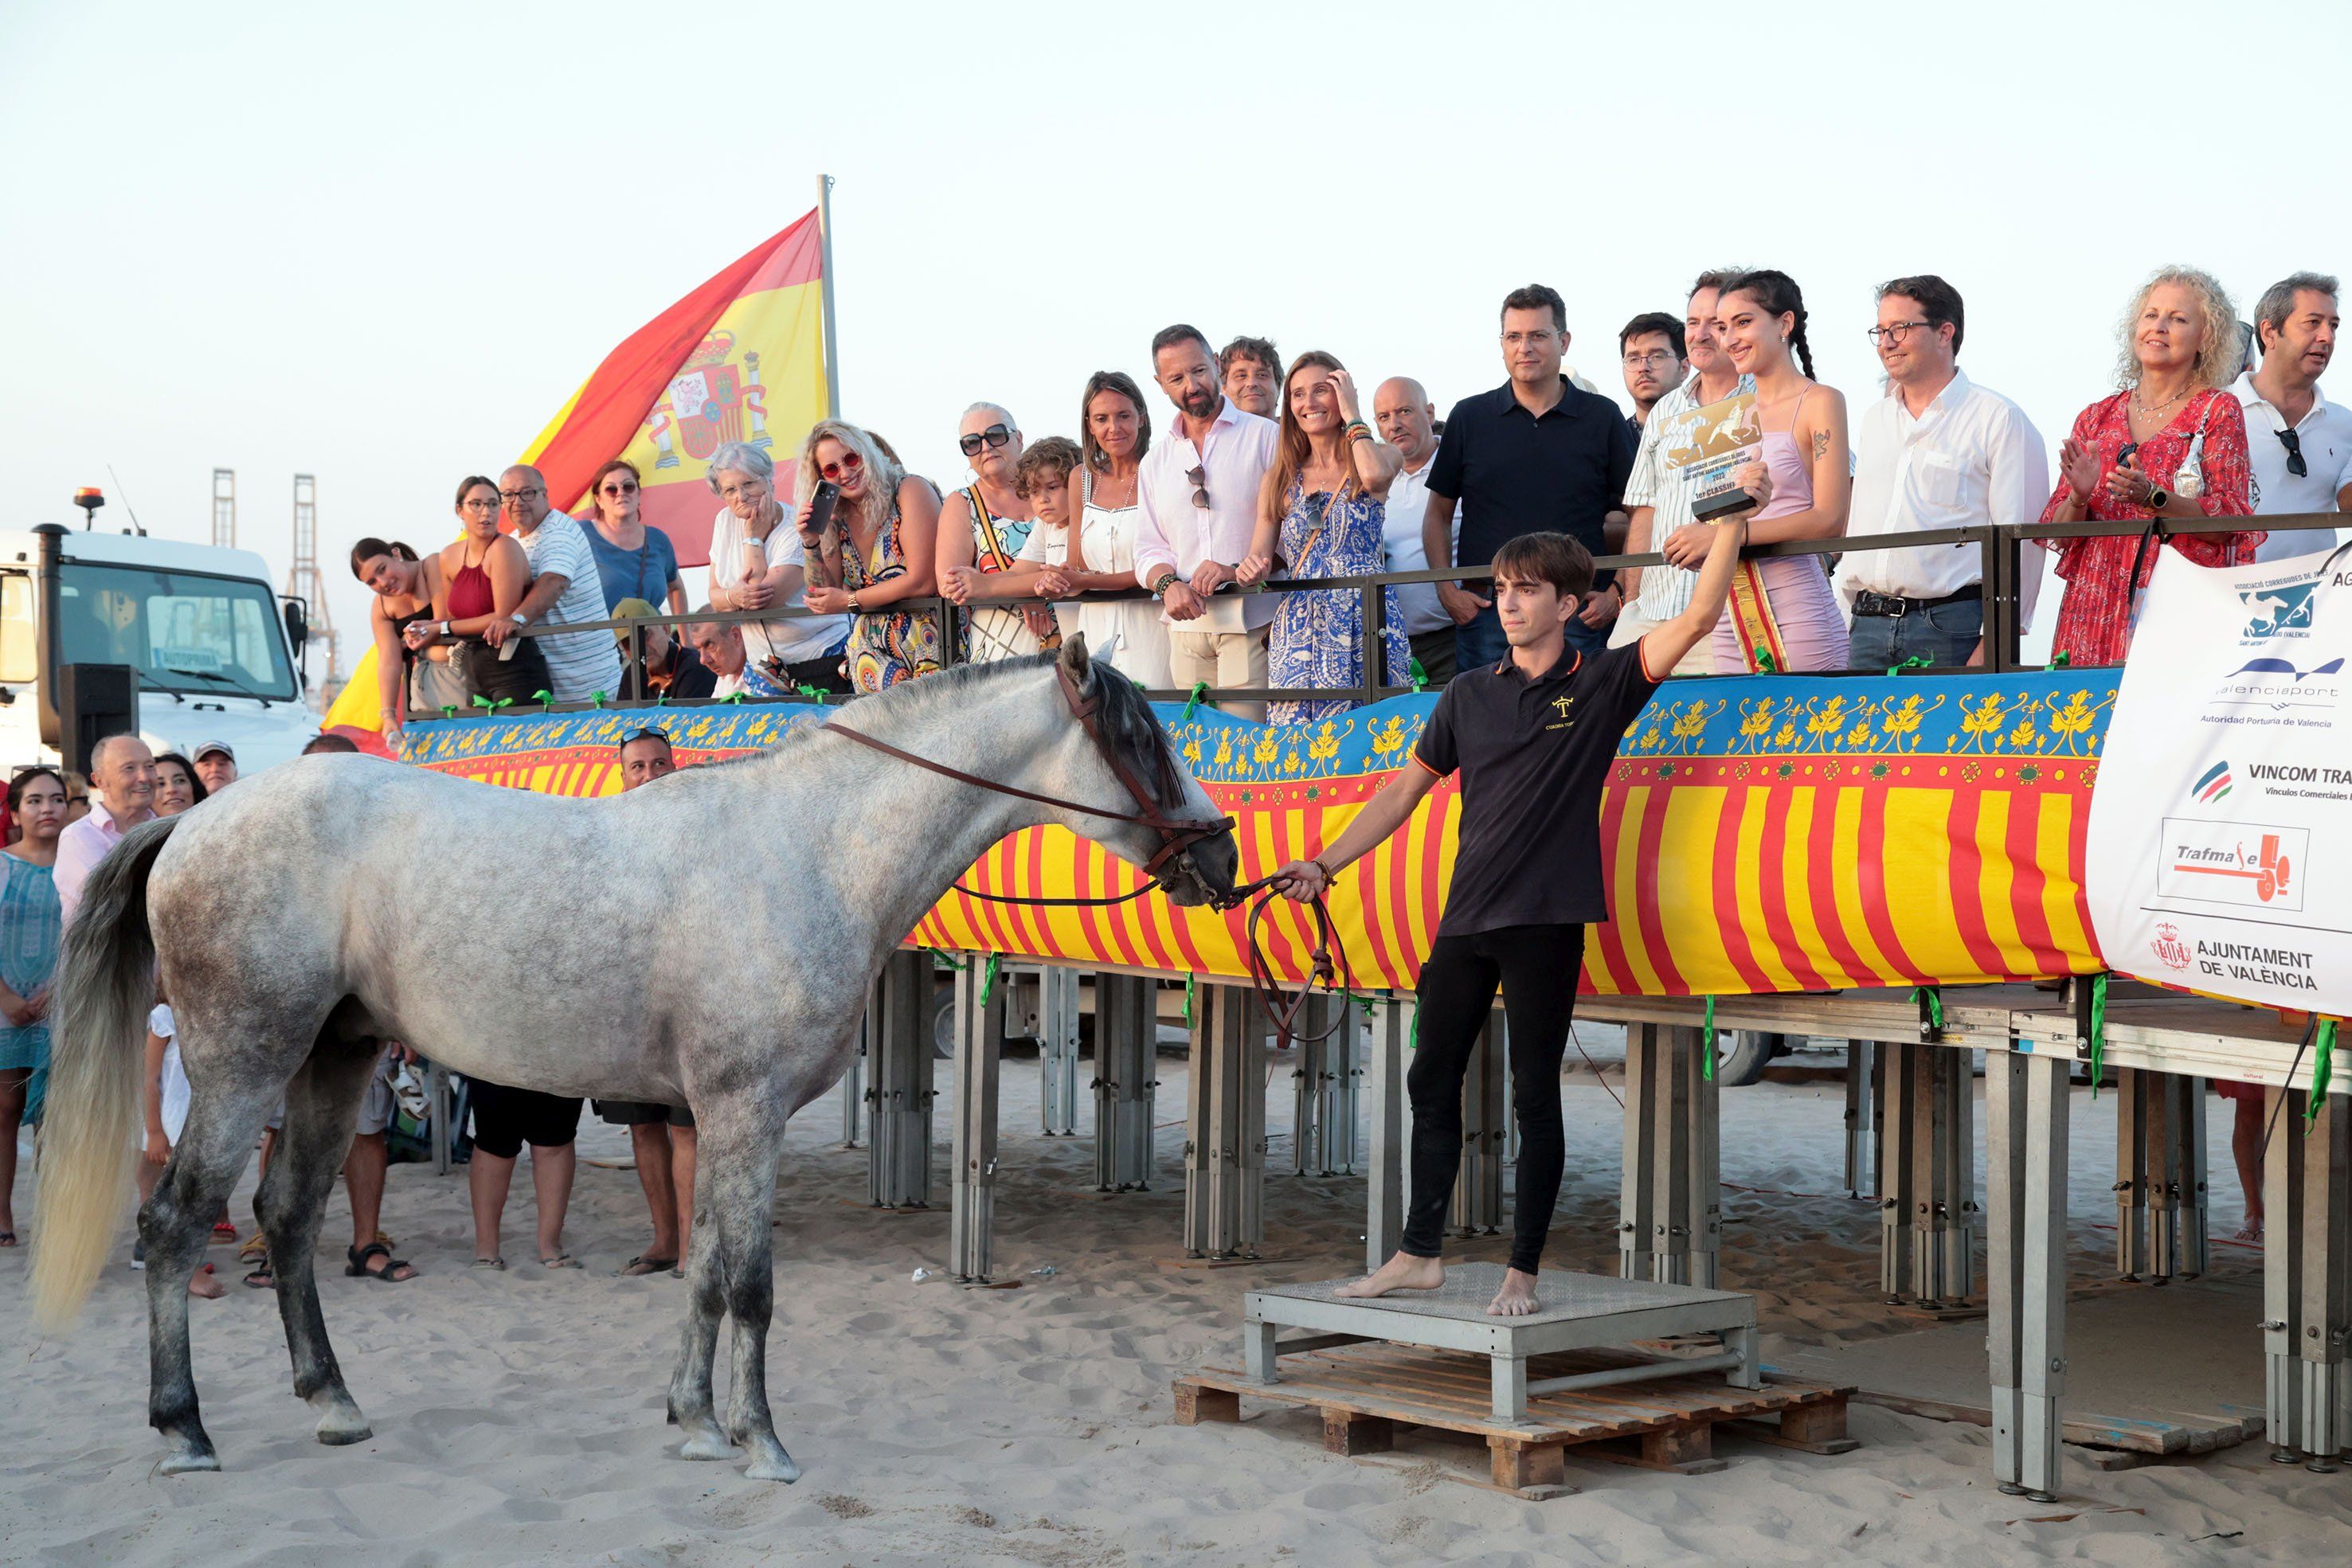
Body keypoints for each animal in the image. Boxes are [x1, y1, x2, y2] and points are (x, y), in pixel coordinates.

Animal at [29, 635, 1238, 1483]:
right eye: (1138, 738)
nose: (1221, 855)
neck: (810, 849)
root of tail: (191, 824)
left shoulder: (714, 1116)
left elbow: (701, 1268)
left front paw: (696, 1422)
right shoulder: (747, 1110)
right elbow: (749, 1283)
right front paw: (763, 1442)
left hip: (334, 1060)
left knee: (284, 1218)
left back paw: (334, 1405)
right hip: (244, 1066)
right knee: (175, 1222)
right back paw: (185, 1430)